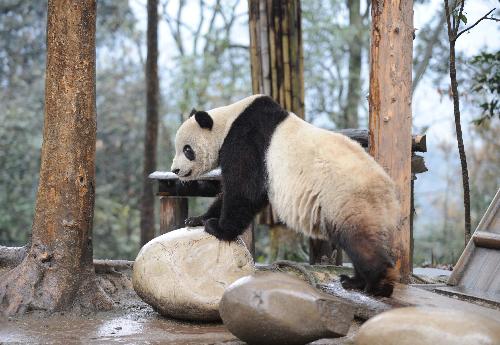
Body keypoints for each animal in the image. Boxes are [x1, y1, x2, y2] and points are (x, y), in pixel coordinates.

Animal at [170, 94, 400, 296]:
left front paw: (218, 228)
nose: (175, 170)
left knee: (360, 243)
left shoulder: (248, 142)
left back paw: (377, 284)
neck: (228, 121)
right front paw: (197, 219)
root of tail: (389, 191)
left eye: (187, 150)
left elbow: (244, 190)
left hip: (347, 199)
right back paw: (355, 281)